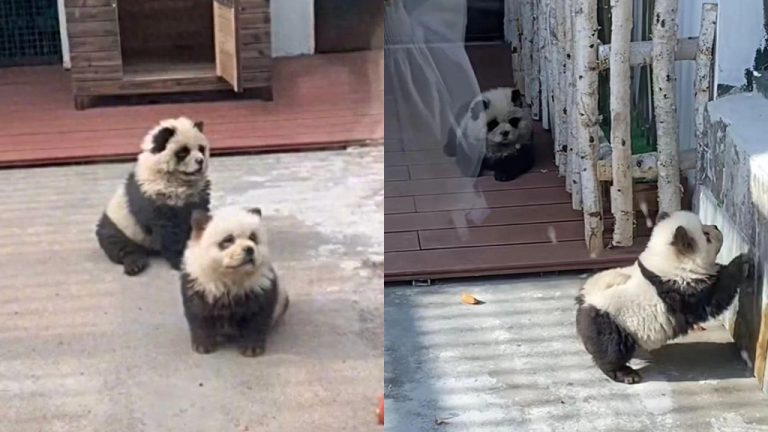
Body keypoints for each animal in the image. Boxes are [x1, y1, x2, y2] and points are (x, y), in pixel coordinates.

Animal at [95, 117, 211, 276]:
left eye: (201, 148)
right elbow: (169, 231)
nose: (200, 161)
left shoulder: (198, 195)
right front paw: (180, 260)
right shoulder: (155, 195)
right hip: (119, 224)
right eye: (183, 152)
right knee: (117, 244)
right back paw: (135, 264)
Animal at [180, 206, 289, 357]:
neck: (231, 277)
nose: (249, 249)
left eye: (253, 237)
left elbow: (257, 317)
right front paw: (203, 345)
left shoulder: (260, 286)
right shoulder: (199, 283)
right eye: (228, 239)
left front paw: (251, 348)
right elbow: (198, 314)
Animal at [575, 210, 754, 384]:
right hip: (613, 323)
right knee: (612, 349)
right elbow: (715, 296)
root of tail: (585, 301)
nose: (716, 226)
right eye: (706, 235)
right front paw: (742, 261)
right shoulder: (683, 290)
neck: (669, 261)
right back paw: (625, 373)